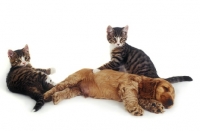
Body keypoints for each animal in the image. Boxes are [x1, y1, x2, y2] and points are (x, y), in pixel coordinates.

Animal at [43, 68, 175, 115]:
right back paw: (46, 95)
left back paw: (56, 97)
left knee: (65, 92)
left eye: (174, 96)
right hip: (73, 79)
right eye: (165, 88)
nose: (171, 104)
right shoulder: (127, 86)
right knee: (57, 86)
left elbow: (144, 100)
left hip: (76, 89)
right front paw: (136, 108)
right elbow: (132, 97)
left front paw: (155, 106)